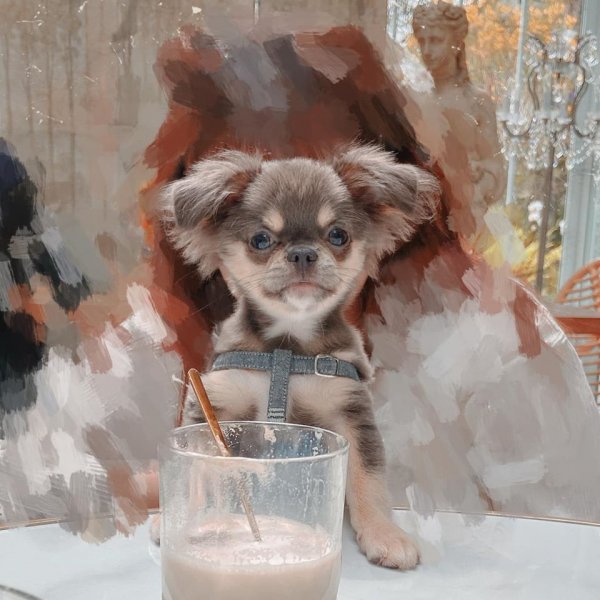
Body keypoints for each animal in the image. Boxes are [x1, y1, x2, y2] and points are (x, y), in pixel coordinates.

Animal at [162, 144, 440, 570]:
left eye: (338, 235)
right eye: (261, 240)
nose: (304, 254)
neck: (287, 350)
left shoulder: (351, 413)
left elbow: (367, 477)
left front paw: (383, 534)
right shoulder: (217, 404)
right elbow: (198, 473)